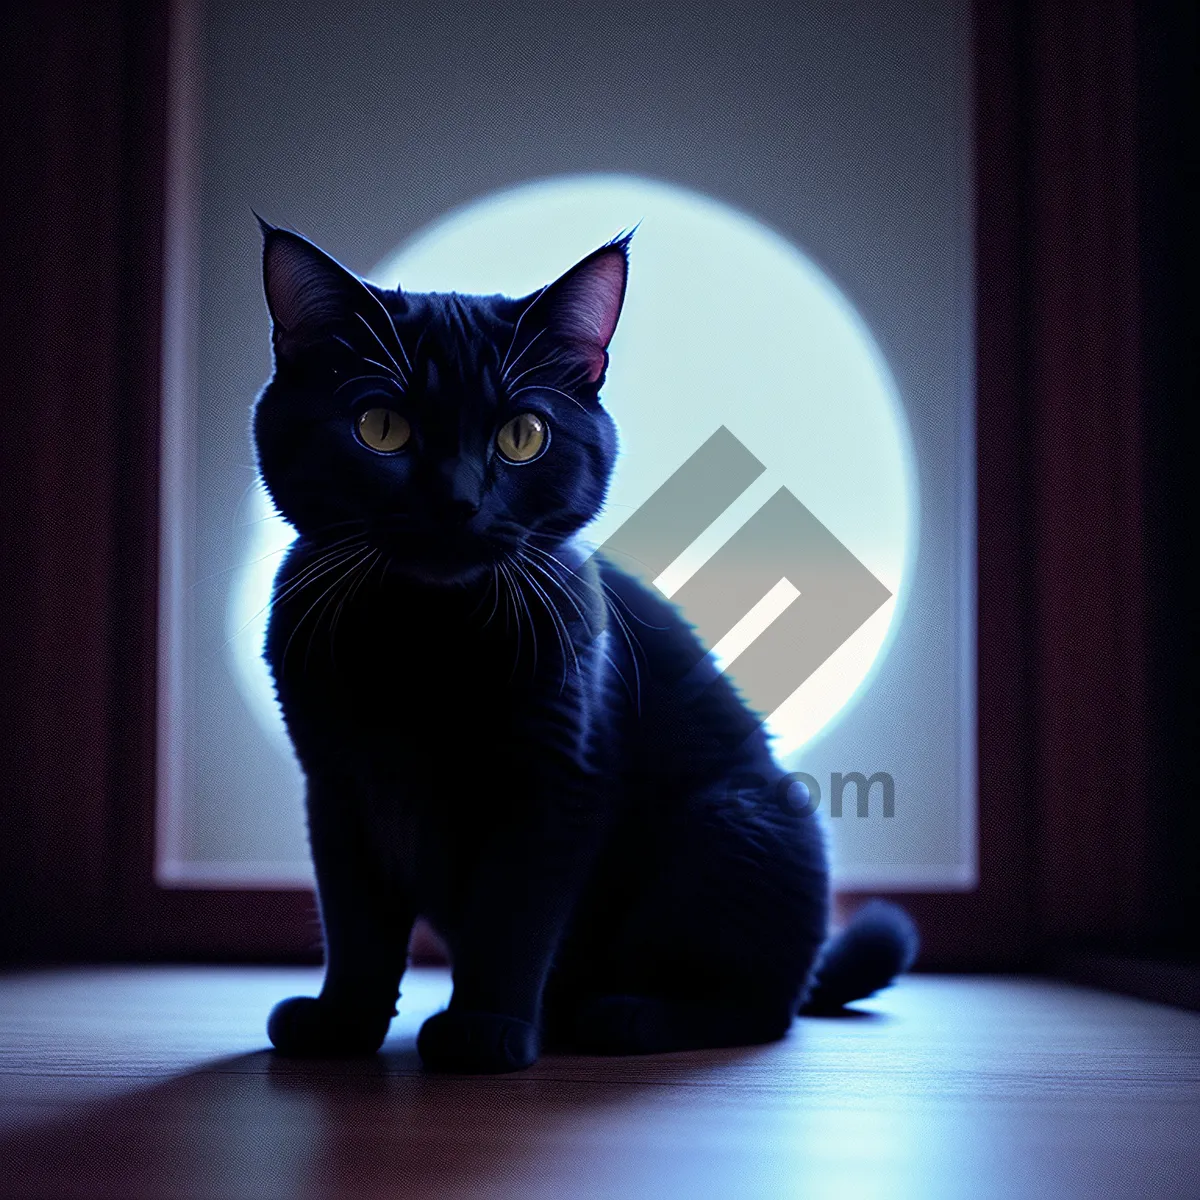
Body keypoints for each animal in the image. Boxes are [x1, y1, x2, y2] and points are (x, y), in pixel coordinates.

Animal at [250, 220, 907, 1075]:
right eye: (380, 428)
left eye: (522, 436)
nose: (457, 501)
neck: (426, 636)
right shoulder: (337, 786)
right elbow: (356, 922)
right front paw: (342, 1026)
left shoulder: (557, 776)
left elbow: (513, 916)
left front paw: (485, 1030)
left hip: (728, 821)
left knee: (764, 1010)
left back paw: (620, 1016)